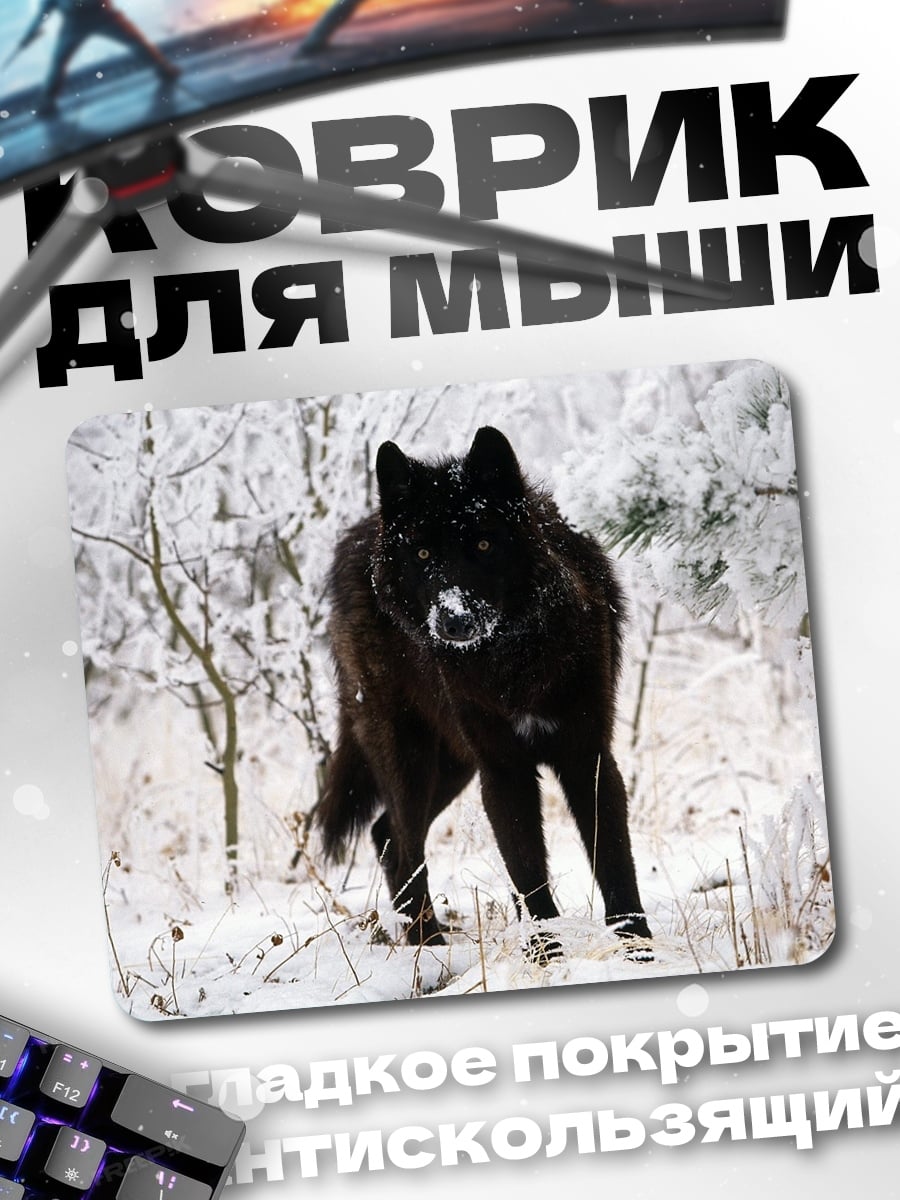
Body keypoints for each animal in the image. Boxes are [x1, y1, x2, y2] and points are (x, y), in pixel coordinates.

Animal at [317, 426, 651, 951]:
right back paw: (429, 947)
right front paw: (545, 953)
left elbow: (615, 860)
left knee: (385, 833)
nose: (453, 620)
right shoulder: (503, 770)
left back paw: (424, 943)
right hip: (411, 757)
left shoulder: (587, 756)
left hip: (453, 764)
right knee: (402, 841)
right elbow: (526, 871)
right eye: (423, 554)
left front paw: (637, 946)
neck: (513, 662)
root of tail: (358, 535)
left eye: (482, 544)